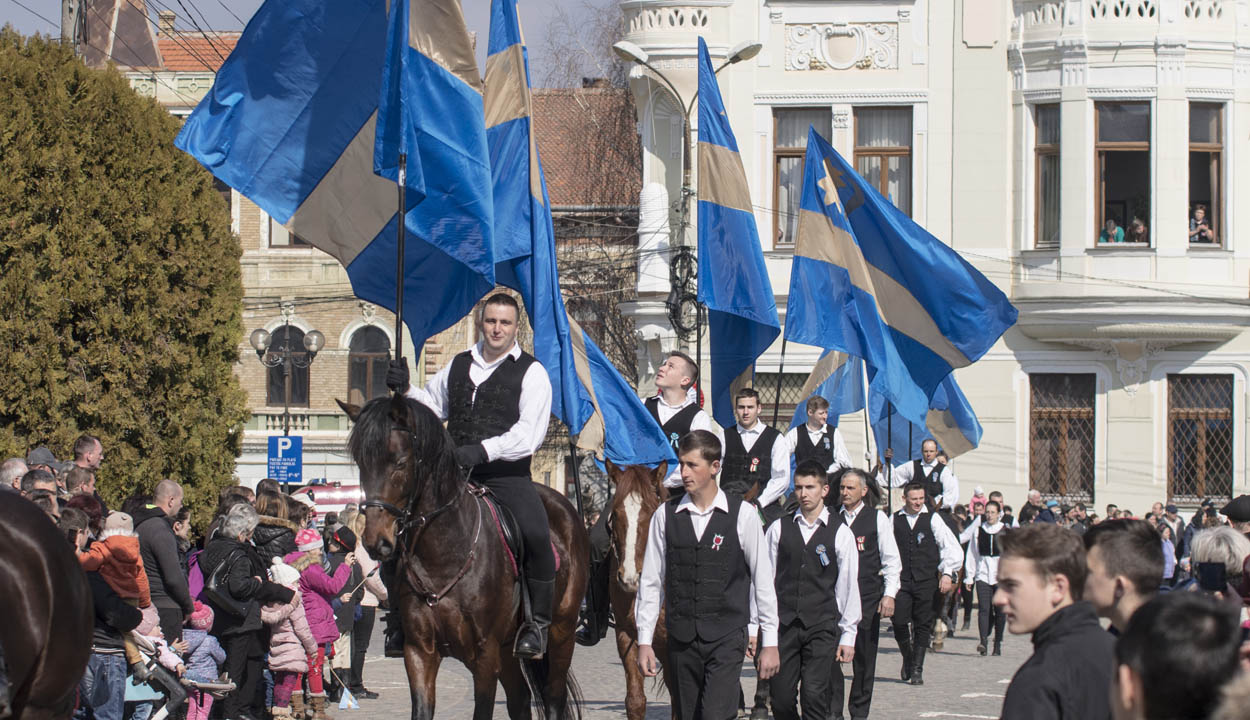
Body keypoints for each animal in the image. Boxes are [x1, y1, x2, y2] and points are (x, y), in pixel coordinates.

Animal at [340, 395, 587, 720]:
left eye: (400, 462)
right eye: (361, 463)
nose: (375, 542)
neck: (444, 555)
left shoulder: (485, 656)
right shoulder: (419, 653)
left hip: (561, 635)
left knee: (553, 698)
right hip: (509, 649)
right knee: (520, 700)